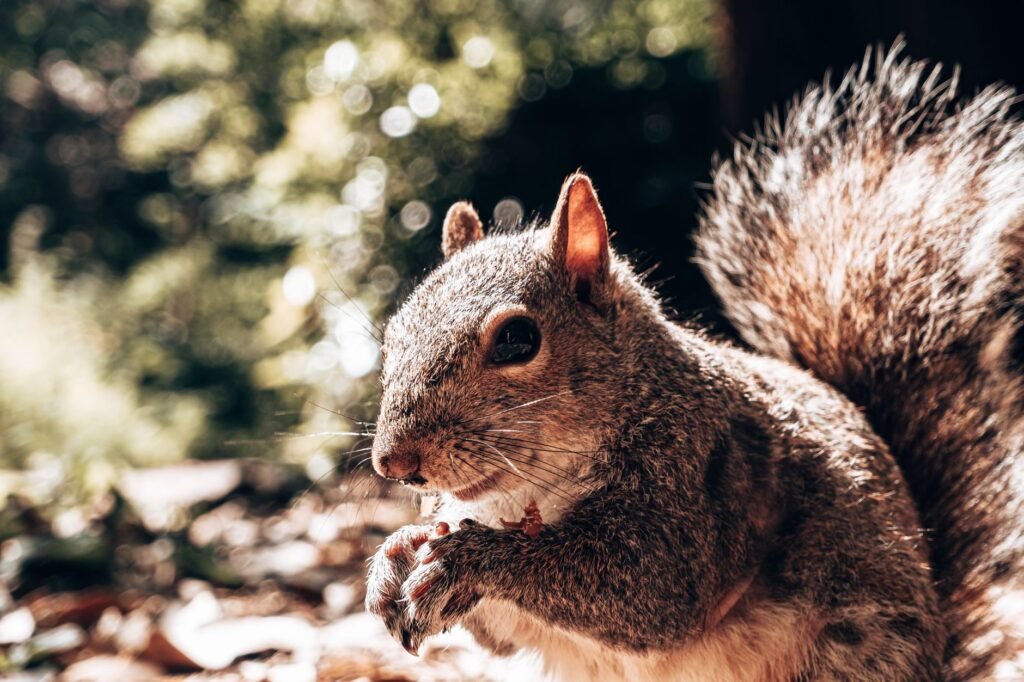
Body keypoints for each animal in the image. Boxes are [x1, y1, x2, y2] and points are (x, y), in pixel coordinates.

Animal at [364, 44, 1023, 681]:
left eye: (516, 341)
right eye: (394, 333)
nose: (394, 463)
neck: (526, 494)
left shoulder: (696, 484)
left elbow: (648, 591)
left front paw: (467, 560)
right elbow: (495, 636)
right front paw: (396, 554)